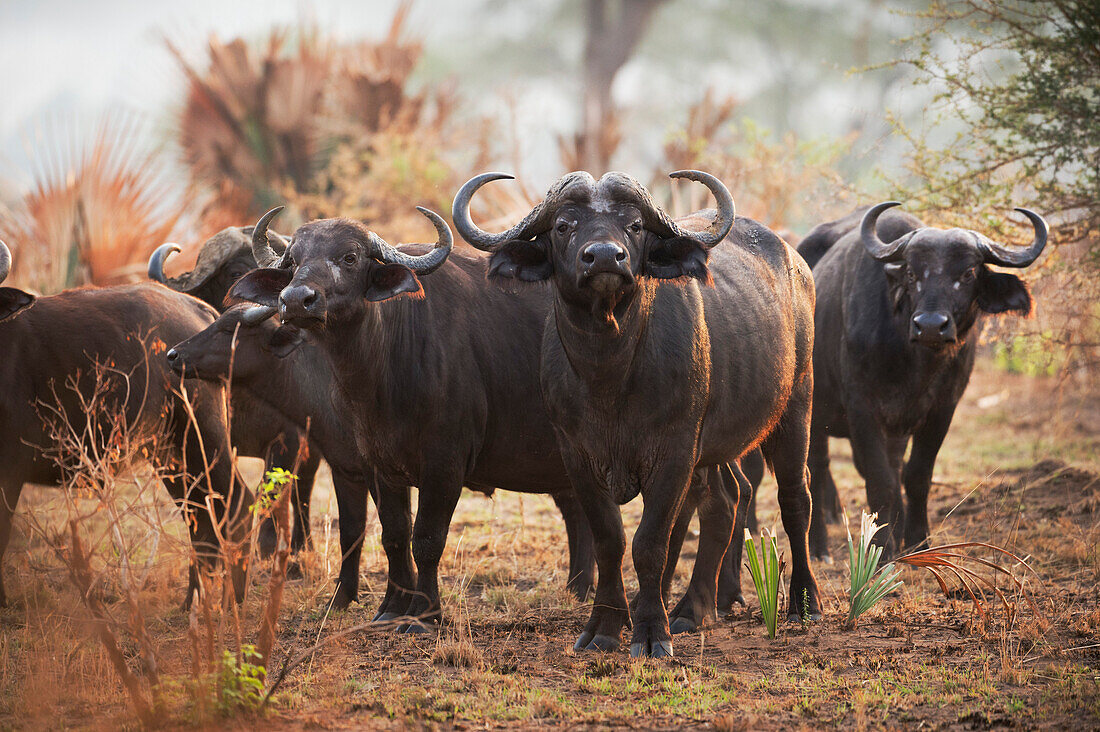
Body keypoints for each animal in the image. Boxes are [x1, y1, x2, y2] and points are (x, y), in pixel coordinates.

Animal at [0, 238, 251, 603]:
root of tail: (198, 309)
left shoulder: (10, 469)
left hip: (203, 438)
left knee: (235, 505)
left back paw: (234, 599)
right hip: (170, 456)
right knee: (200, 516)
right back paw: (194, 599)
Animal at [451, 169, 822, 656]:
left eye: (635, 225)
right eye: (563, 225)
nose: (606, 257)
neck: (610, 373)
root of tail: (796, 264)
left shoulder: (674, 452)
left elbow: (650, 542)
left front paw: (650, 632)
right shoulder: (577, 457)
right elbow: (610, 539)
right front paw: (605, 628)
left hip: (796, 405)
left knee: (795, 497)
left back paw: (804, 603)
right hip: (717, 443)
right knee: (727, 500)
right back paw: (692, 609)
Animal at [800, 202, 1047, 556]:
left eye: (968, 273)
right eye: (913, 274)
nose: (931, 325)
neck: (916, 363)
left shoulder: (942, 409)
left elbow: (916, 475)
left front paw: (917, 540)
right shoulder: (862, 408)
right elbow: (879, 480)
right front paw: (881, 549)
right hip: (814, 411)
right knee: (817, 470)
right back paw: (818, 546)